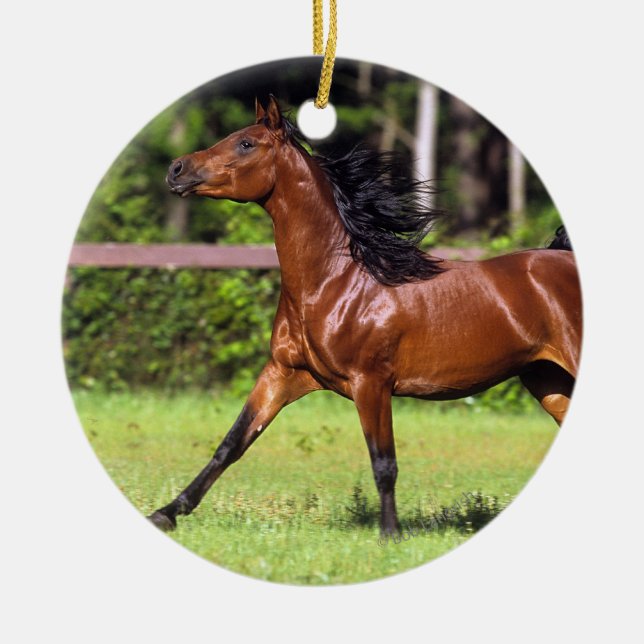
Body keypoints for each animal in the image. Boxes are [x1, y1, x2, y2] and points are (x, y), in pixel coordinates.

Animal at [148, 95, 582, 535]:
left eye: (246, 143)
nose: (176, 169)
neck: (337, 282)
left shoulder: (371, 383)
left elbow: (384, 463)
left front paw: (390, 534)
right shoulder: (283, 373)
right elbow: (231, 444)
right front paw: (167, 512)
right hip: (548, 381)